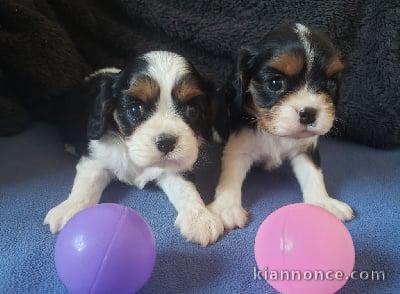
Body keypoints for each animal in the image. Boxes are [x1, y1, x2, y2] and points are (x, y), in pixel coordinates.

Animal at [46, 50, 225, 246]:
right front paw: (70, 209)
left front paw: (199, 217)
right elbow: (86, 186)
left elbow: (187, 190)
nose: (166, 143)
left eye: (192, 111)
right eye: (134, 109)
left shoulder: (177, 167)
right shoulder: (96, 160)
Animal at [208, 24, 354, 231]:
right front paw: (226, 207)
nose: (309, 113)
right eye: (275, 83)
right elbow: (230, 177)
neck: (274, 133)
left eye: (331, 84)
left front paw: (323, 202)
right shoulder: (239, 148)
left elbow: (314, 175)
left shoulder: (305, 149)